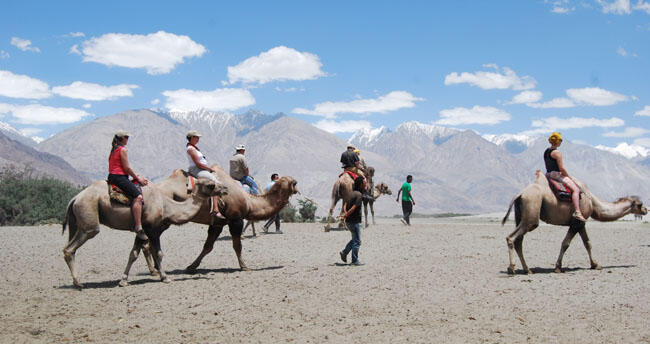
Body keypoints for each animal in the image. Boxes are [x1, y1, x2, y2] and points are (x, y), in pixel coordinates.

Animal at [62, 177, 225, 288]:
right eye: (211, 185)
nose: (224, 188)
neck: (166, 206)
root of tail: (74, 198)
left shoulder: (142, 231)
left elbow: (134, 253)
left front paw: (123, 280)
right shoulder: (151, 229)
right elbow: (158, 253)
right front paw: (165, 277)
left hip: (77, 223)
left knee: (70, 248)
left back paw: (76, 282)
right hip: (89, 219)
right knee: (71, 248)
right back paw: (78, 283)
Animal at [157, 165, 298, 272]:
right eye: (295, 183)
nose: (297, 189)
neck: (249, 201)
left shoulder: (217, 224)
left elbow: (208, 246)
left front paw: (192, 266)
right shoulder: (235, 219)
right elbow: (237, 246)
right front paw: (244, 267)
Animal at [498, 171, 644, 274]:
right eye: (640, 204)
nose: (646, 210)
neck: (592, 201)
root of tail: (519, 194)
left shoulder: (581, 223)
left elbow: (587, 243)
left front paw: (595, 265)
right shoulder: (576, 223)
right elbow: (566, 243)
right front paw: (558, 267)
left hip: (520, 216)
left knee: (519, 241)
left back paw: (527, 270)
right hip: (532, 214)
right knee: (512, 237)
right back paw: (512, 269)